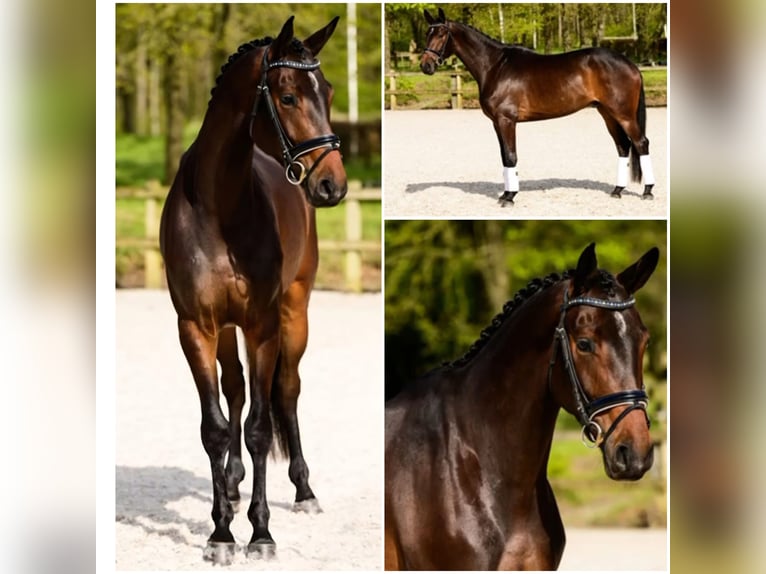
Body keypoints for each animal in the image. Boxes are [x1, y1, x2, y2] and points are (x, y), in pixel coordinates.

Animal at [159, 16, 347, 564]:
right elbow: (216, 427)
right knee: (237, 389)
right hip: (226, 329)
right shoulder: (196, 327)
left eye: (328, 91)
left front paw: (260, 534)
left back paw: (303, 490)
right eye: (287, 96)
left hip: (295, 312)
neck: (220, 206)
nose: (334, 185)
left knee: (286, 391)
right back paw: (234, 483)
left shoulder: (263, 325)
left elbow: (262, 428)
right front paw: (221, 532)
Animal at [421, 8, 657, 206]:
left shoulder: (507, 120)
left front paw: (510, 197)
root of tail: (630, 64)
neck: (495, 66)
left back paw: (647, 191)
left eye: (441, 34)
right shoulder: (497, 123)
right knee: (623, 146)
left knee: (640, 143)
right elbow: (504, 156)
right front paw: (505, 194)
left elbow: (511, 156)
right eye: (428, 33)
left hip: (624, 115)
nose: (425, 65)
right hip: (607, 114)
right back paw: (617, 190)